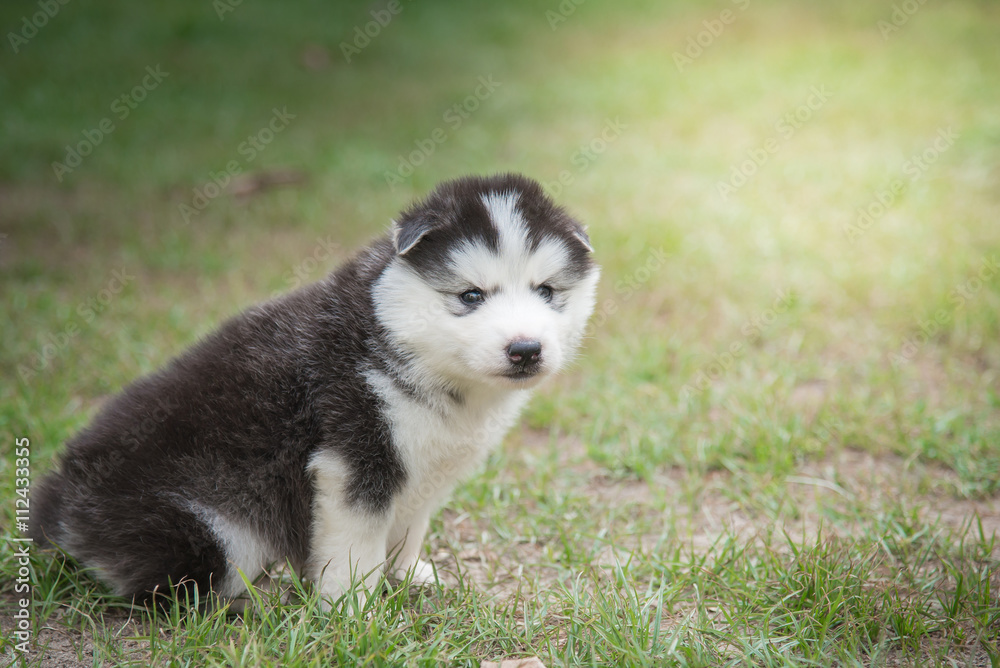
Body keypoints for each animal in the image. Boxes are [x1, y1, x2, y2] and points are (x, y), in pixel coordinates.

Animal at [31, 171, 596, 604]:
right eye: (471, 295)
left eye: (547, 291)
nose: (525, 349)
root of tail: (60, 499)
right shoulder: (354, 460)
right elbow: (354, 549)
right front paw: (352, 610)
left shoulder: (425, 471)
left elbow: (409, 529)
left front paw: (410, 577)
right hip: (210, 532)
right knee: (178, 592)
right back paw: (253, 604)